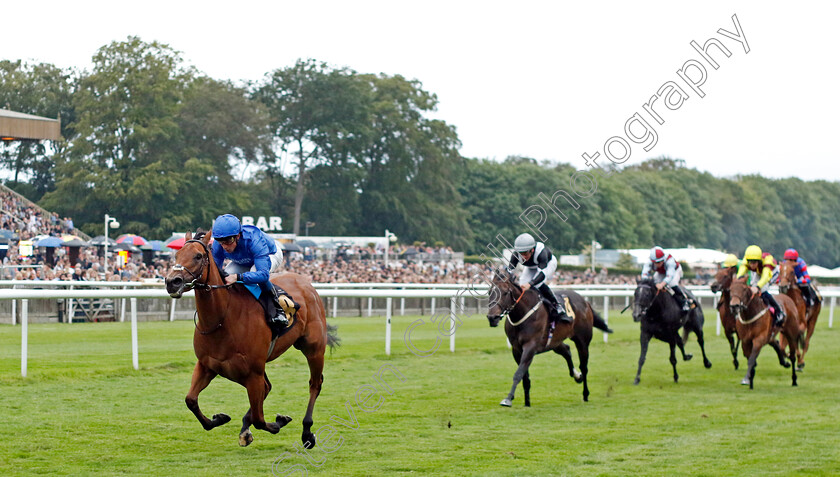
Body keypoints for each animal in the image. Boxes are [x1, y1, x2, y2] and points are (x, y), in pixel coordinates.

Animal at [162, 231, 336, 446]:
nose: (172, 282)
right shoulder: (207, 365)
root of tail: (306, 283)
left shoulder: (253, 373)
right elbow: (191, 400)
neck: (223, 318)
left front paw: (278, 422)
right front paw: (219, 418)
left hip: (314, 348)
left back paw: (307, 431)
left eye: (198, 256)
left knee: (315, 384)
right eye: (176, 256)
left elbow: (260, 419)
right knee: (268, 388)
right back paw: (245, 428)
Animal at [486, 268, 612, 406]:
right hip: (554, 342)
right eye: (489, 292)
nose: (492, 318)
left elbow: (518, 373)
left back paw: (585, 393)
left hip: (582, 341)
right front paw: (527, 403)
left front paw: (508, 399)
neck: (524, 313)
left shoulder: (530, 347)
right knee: (566, 350)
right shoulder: (516, 349)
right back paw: (577, 376)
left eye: (505, 293)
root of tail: (585, 301)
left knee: (584, 367)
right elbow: (525, 377)